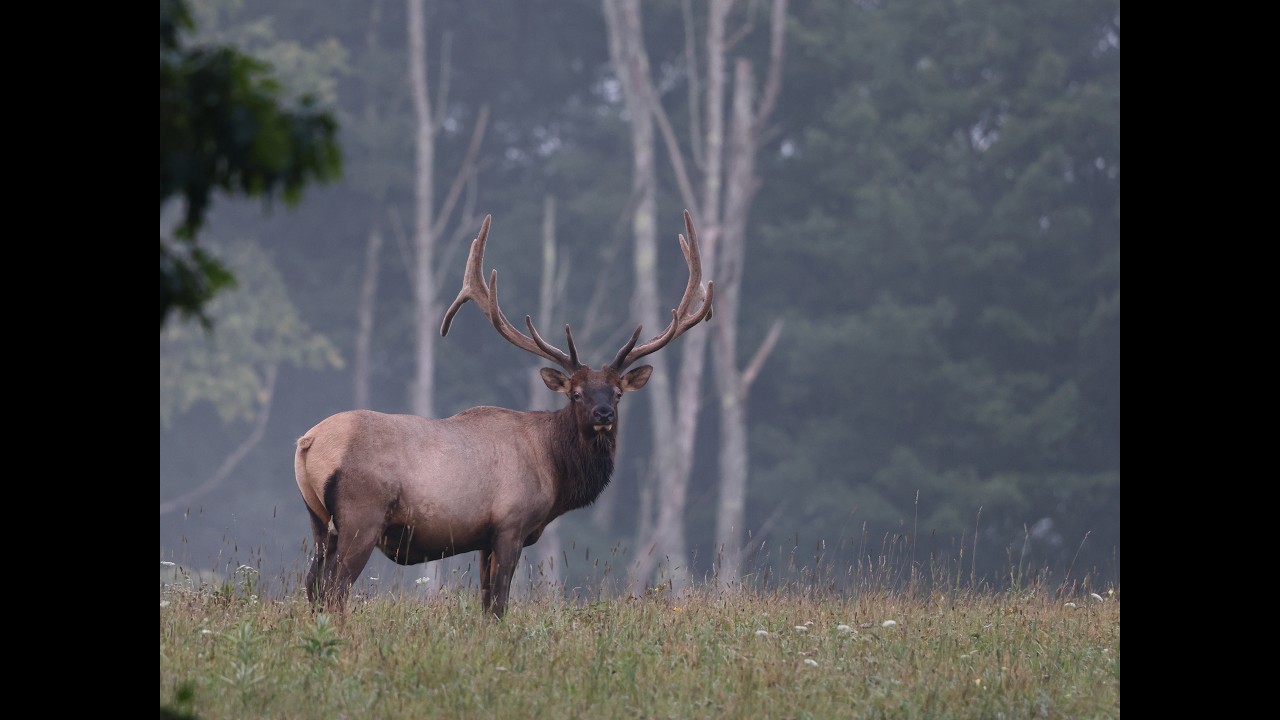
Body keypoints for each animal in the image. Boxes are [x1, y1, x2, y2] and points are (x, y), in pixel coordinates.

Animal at [294, 210, 713, 618]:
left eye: (618, 393)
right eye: (576, 394)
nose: (604, 413)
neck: (554, 469)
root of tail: (307, 442)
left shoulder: (484, 538)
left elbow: (484, 602)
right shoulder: (510, 524)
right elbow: (499, 603)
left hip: (319, 522)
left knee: (313, 586)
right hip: (361, 515)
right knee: (334, 589)